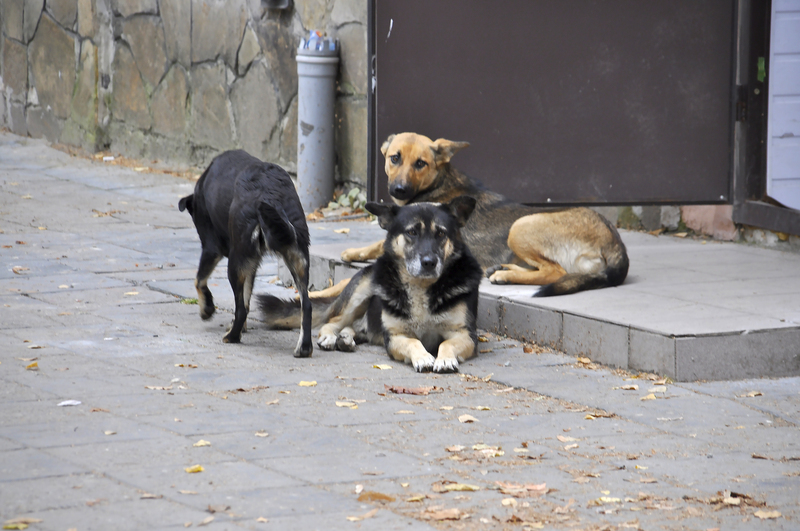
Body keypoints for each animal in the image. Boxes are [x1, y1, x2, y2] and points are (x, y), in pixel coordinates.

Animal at [178, 150, 312, 358]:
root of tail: (271, 192)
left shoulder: (211, 247)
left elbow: (199, 280)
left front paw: (207, 308)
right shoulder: (251, 263)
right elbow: (247, 297)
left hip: (235, 262)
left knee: (240, 308)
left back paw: (231, 337)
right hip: (298, 258)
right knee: (306, 304)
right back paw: (304, 347)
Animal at [260, 196, 482, 374]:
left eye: (441, 234)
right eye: (412, 232)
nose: (429, 262)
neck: (421, 286)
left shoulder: (465, 335)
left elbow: (446, 343)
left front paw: (444, 359)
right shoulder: (395, 336)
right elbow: (414, 342)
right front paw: (424, 357)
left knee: (353, 328)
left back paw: (346, 339)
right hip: (362, 290)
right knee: (333, 321)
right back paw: (331, 338)